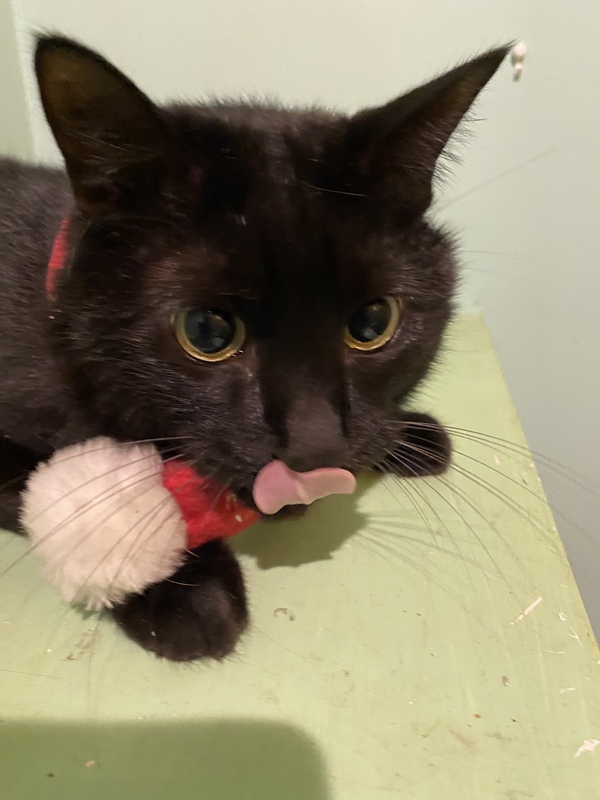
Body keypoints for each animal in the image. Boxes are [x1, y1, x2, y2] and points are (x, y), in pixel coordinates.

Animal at [0, 35, 508, 661]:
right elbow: (30, 482)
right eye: (206, 333)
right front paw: (185, 593)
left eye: (372, 323)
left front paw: (411, 435)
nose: (317, 447)